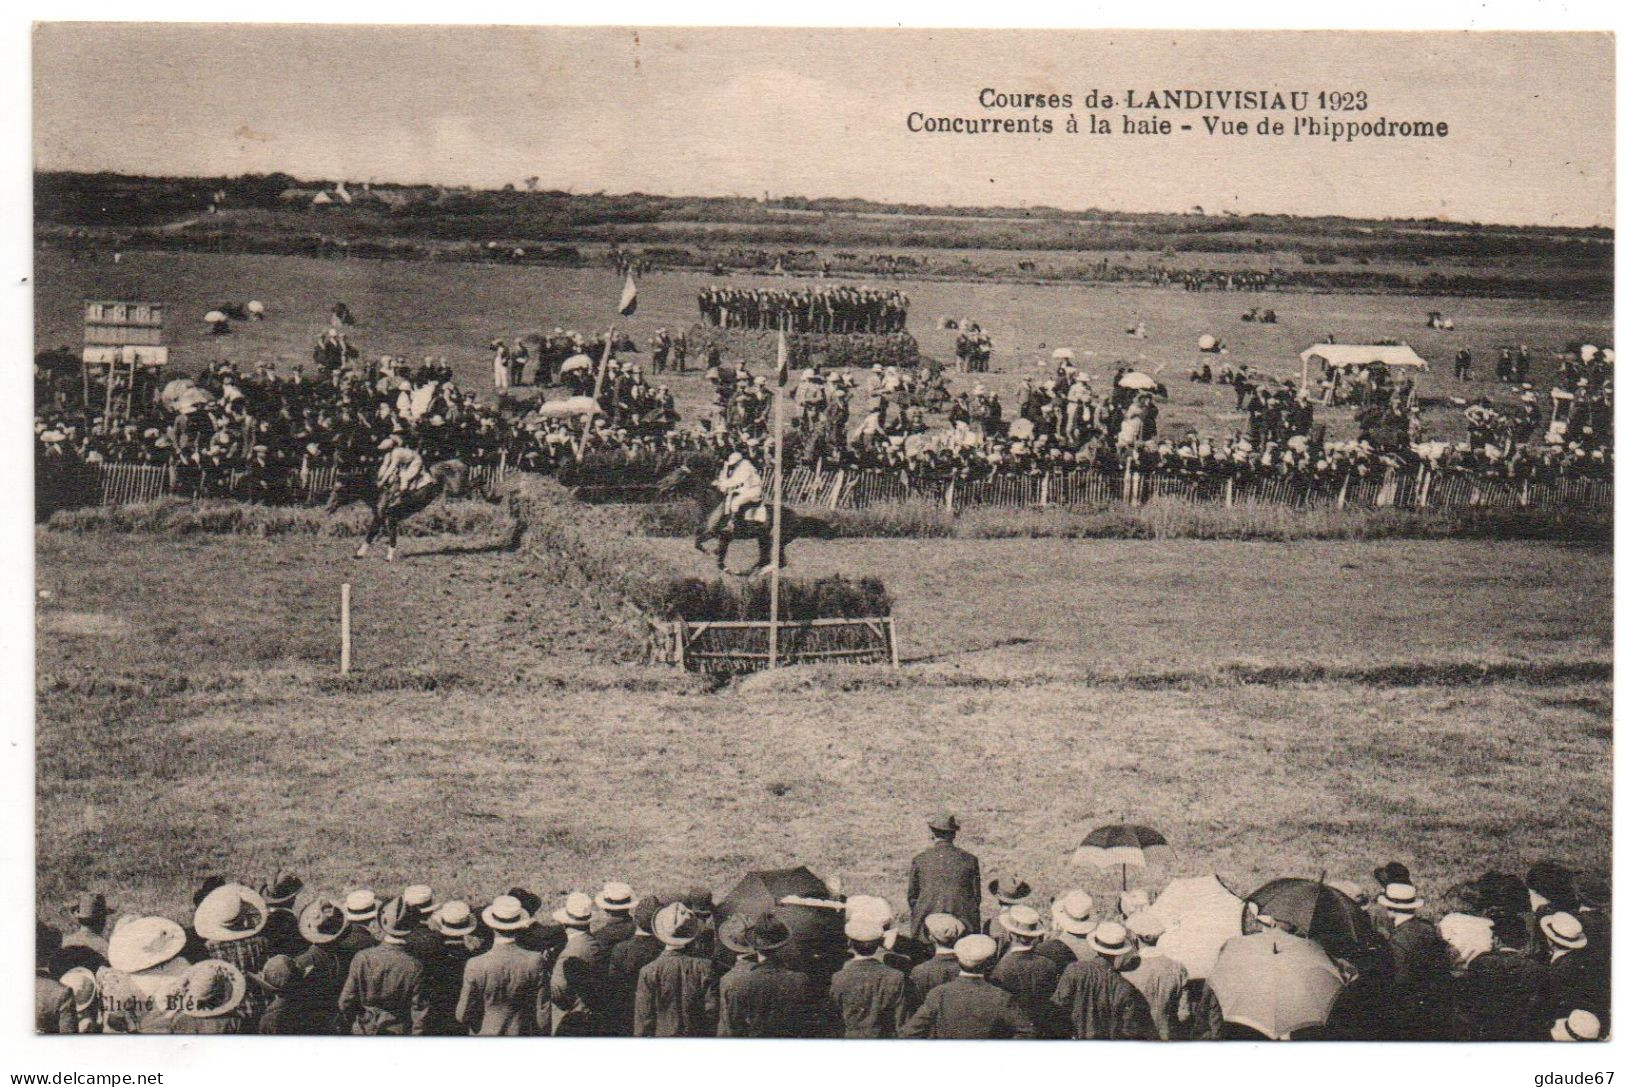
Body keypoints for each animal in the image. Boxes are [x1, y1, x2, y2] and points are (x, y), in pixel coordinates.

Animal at [653, 458, 825, 575]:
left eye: (678, 474)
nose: (659, 484)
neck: (713, 502)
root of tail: (799, 518)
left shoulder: (720, 534)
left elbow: (711, 553)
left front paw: (714, 556)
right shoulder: (720, 536)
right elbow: (703, 546)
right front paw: (715, 554)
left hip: (774, 541)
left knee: (778, 562)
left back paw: (757, 573)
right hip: (763, 540)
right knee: (767, 560)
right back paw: (751, 572)